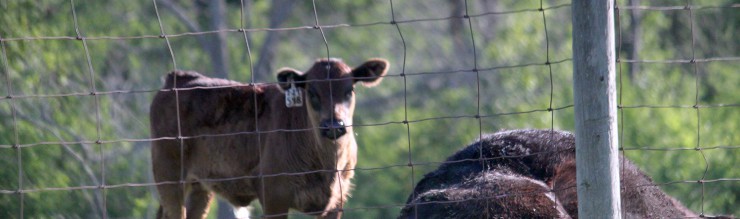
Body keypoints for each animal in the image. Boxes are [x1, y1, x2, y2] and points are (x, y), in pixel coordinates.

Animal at [151, 57, 390, 218]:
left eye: (349, 90)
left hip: (200, 185)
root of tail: (178, 78)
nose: (333, 125)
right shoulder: (274, 196)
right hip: (169, 176)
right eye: (312, 92)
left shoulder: (337, 201)